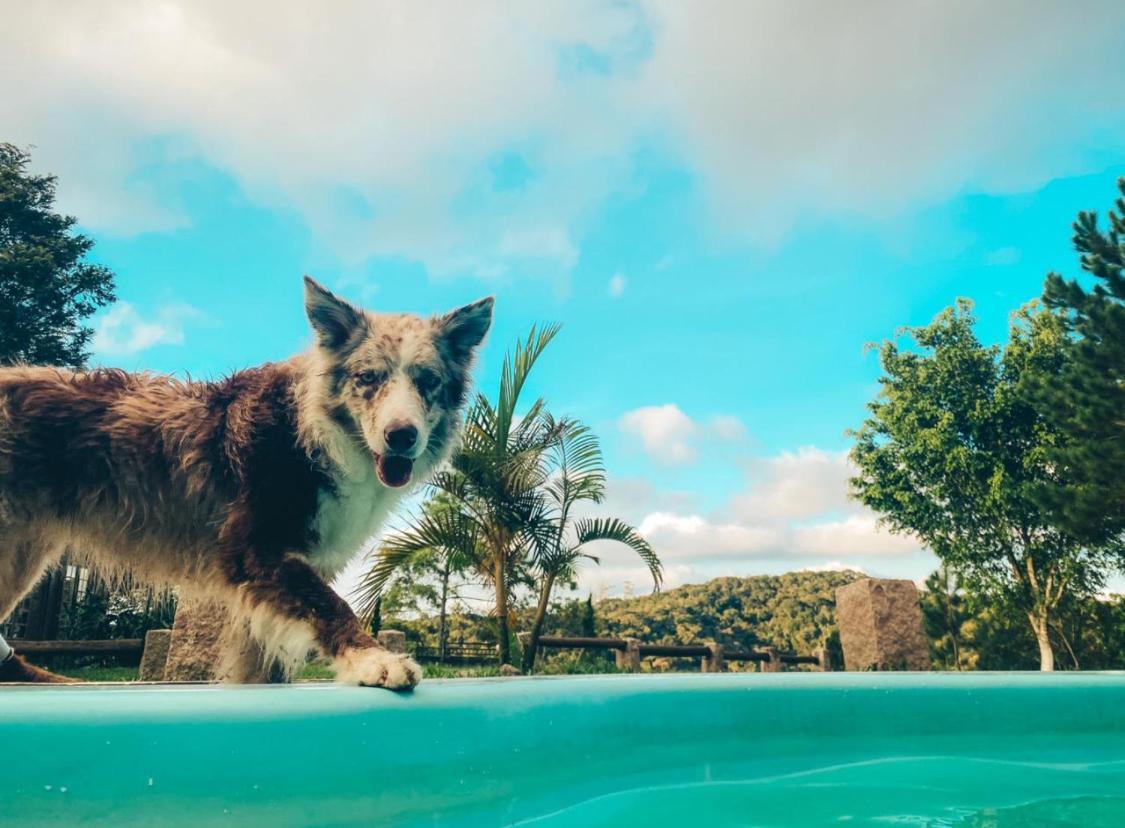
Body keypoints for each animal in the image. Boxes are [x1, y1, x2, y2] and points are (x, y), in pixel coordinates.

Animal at [0, 276, 492, 684]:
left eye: (427, 381)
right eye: (368, 378)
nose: (402, 436)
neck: (313, 433)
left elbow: (265, 665)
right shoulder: (253, 551)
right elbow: (329, 604)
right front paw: (374, 661)